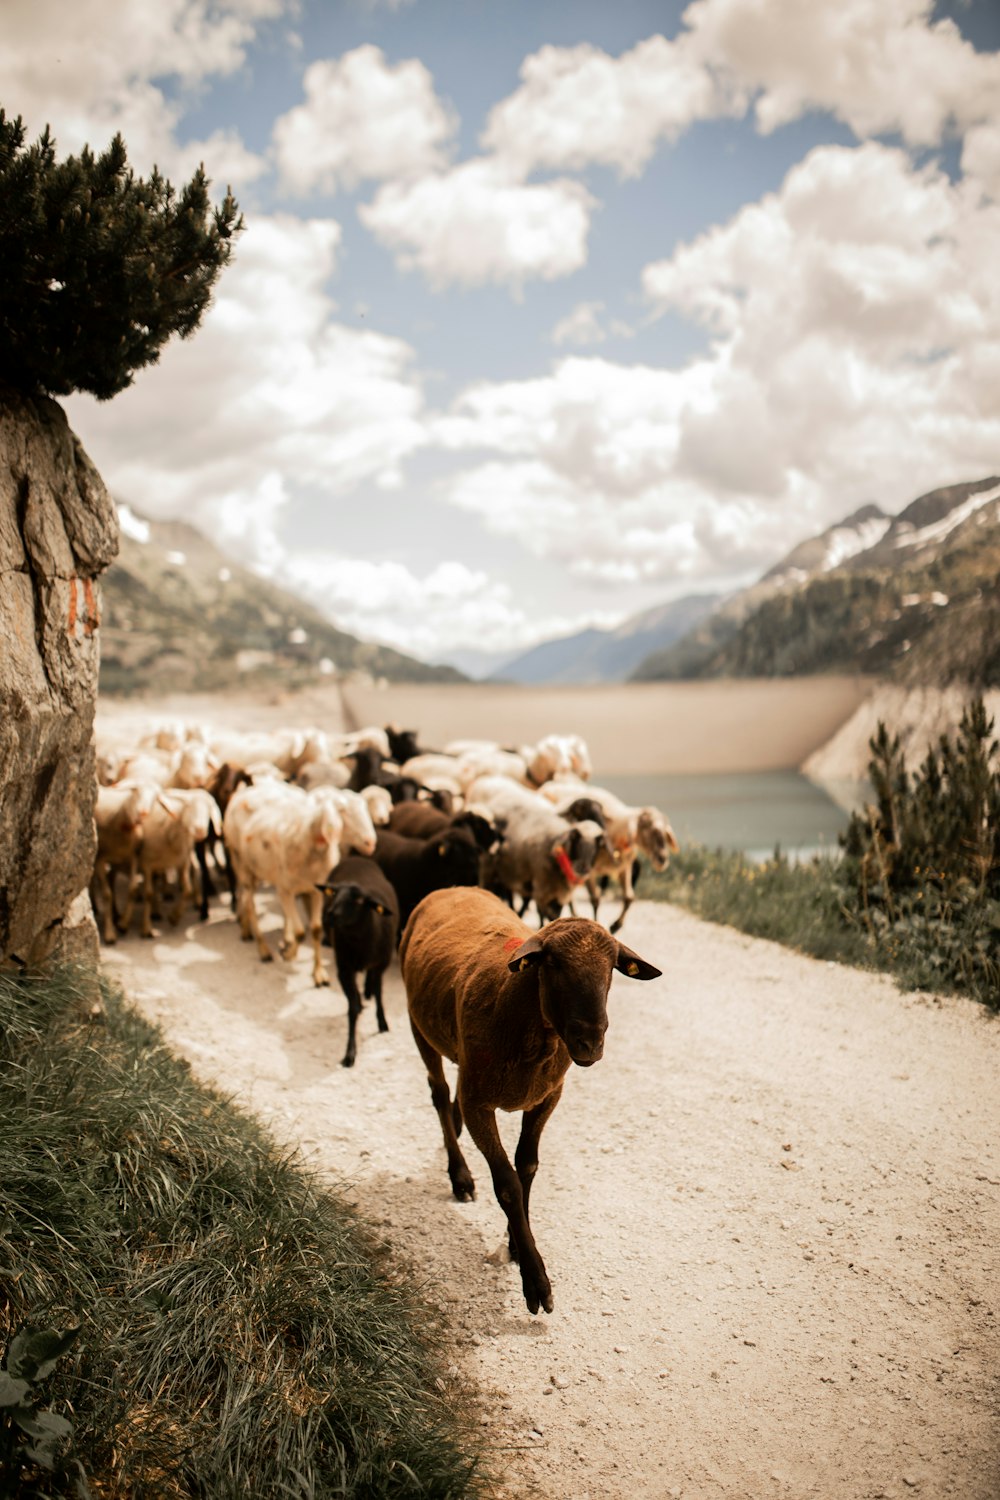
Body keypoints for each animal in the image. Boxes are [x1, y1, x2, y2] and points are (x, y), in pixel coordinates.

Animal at [319, 858, 401, 1068]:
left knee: (371, 982)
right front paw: (350, 1053)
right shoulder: (344, 969)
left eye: (358, 901)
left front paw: (382, 1022)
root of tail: (355, 858)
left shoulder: (381, 964)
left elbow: (380, 993)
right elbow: (352, 1008)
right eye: (334, 893)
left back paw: (368, 990)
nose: (330, 914)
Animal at [398, 888, 665, 1314]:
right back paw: (460, 1175)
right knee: (439, 1094)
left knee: (451, 1098)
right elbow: (508, 1183)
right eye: (552, 964)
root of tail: (453, 888)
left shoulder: (547, 1097)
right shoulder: (479, 1104)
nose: (590, 1044)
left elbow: (527, 1168)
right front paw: (536, 1282)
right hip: (418, 1027)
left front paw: (516, 1242)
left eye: (612, 968)